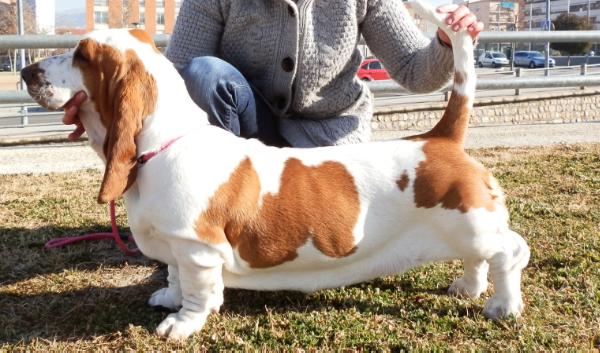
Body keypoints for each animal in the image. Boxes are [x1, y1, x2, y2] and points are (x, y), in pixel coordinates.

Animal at [22, 1, 528, 340]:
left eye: (82, 55)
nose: (27, 72)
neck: (166, 142)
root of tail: (440, 138)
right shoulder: (176, 246)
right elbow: (173, 275)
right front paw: (167, 297)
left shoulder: (198, 248)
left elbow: (198, 291)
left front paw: (179, 324)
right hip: (466, 229)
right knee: (479, 258)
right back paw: (467, 287)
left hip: (472, 223)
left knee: (509, 253)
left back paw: (502, 305)